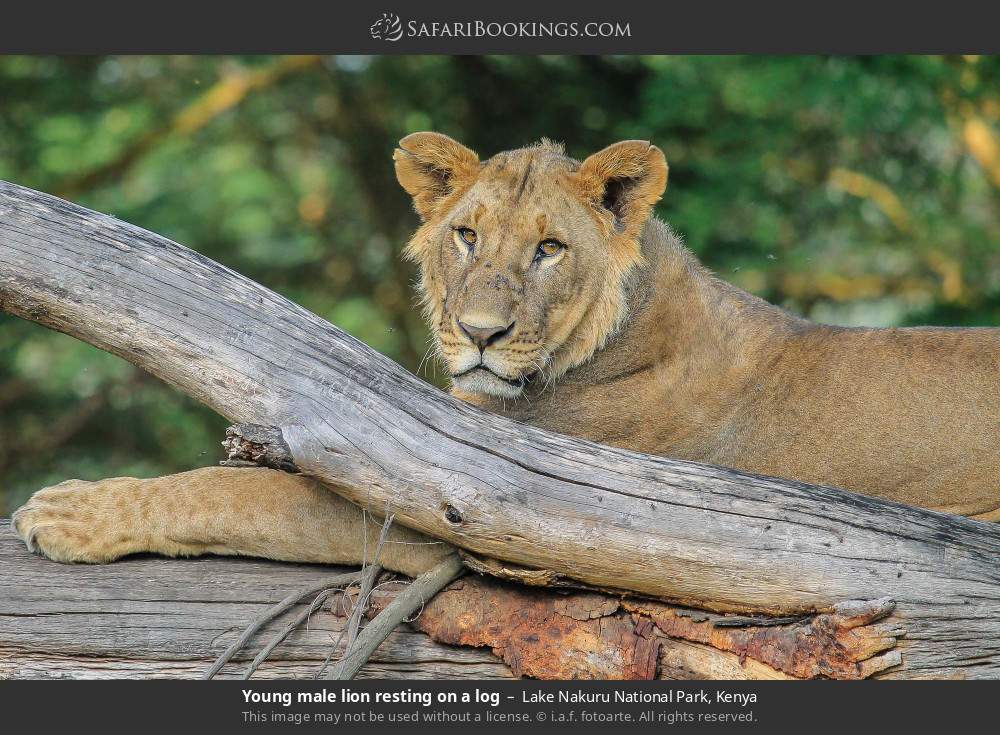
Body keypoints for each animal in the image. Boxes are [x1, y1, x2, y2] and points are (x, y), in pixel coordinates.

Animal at [12, 133, 1000, 577]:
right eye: (467, 235)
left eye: (549, 249)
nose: (481, 331)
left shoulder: (478, 504)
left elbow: (242, 491)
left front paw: (67, 510)